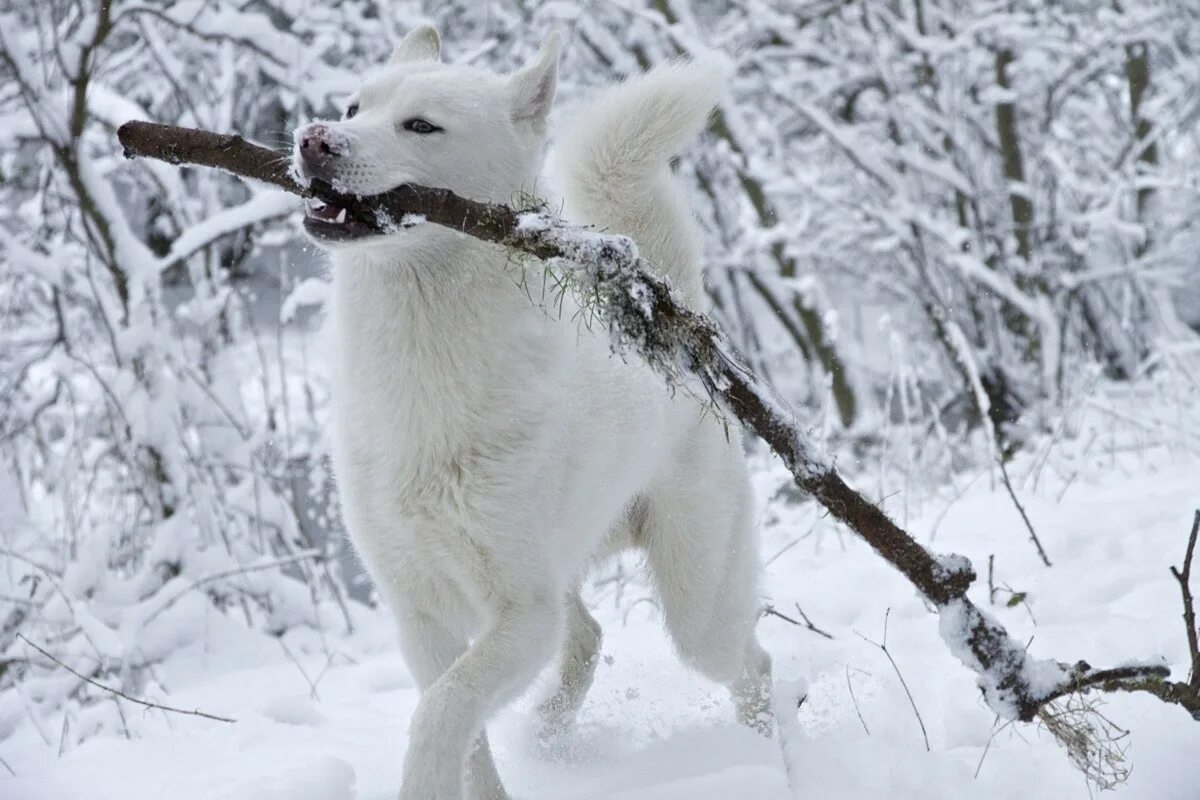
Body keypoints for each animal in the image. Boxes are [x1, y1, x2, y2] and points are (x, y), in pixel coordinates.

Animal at [295, 25, 772, 800]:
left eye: (420, 126)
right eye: (353, 107)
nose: (312, 140)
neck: (422, 369)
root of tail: (675, 323)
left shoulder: (521, 614)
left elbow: (443, 711)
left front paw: (421, 781)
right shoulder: (419, 611)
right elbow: (465, 732)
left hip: (696, 607)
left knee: (752, 665)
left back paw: (770, 754)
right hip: (571, 575)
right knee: (588, 639)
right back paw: (548, 730)